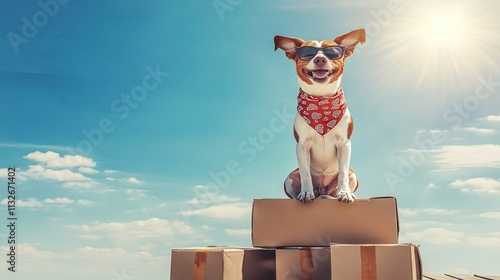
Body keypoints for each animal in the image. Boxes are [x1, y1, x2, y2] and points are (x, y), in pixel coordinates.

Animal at [276, 27, 366, 203]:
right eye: (307, 53)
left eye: (333, 52)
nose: (319, 59)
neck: (321, 100)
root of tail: (322, 190)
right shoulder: (302, 145)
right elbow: (305, 173)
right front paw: (305, 193)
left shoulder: (344, 144)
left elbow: (343, 172)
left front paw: (344, 192)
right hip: (289, 178)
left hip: (353, 175)